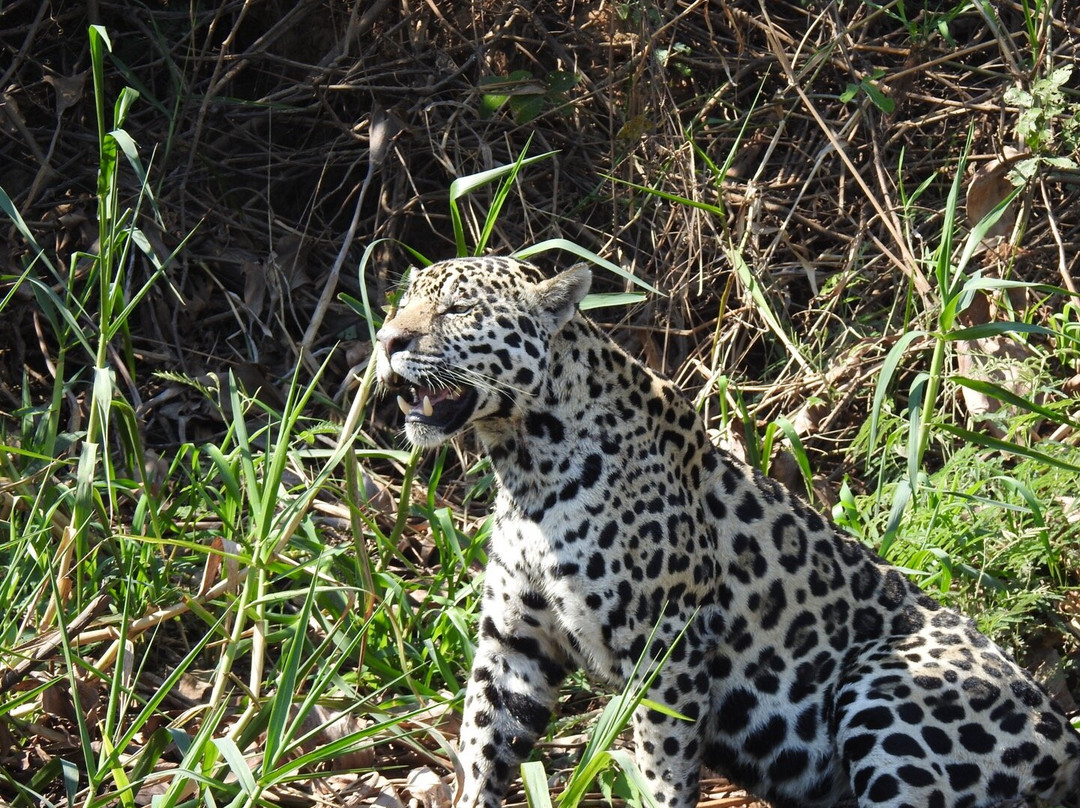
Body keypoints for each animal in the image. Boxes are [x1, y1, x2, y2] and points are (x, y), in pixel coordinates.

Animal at [374, 255, 1080, 808]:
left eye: (459, 309)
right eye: (404, 303)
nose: (386, 342)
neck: (525, 462)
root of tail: (1067, 735)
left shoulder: (666, 643)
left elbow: (661, 764)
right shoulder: (513, 640)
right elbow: (482, 742)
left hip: (886, 688)